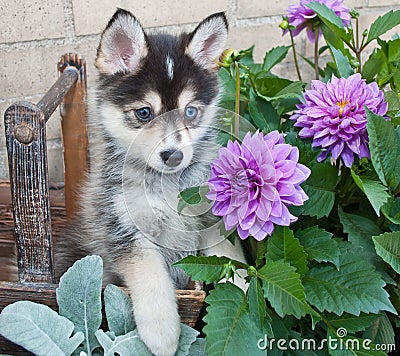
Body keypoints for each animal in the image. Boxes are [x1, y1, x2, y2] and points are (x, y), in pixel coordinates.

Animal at [54, 8, 245, 356]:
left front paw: (248, 285)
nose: (173, 156)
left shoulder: (210, 217)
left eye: (191, 112)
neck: (165, 185)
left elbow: (229, 255)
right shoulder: (125, 230)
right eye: (144, 113)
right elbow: (150, 274)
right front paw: (162, 332)